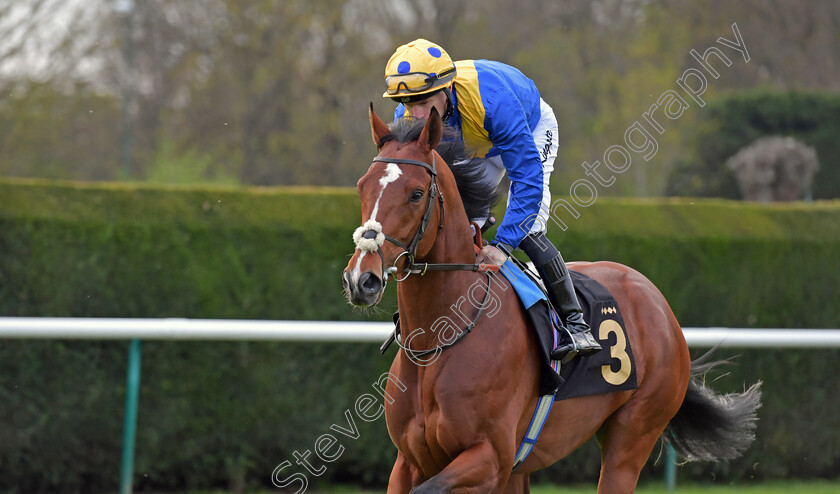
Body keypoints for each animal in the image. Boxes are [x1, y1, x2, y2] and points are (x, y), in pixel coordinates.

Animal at [342, 106, 760, 492]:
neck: (439, 340)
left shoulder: (489, 458)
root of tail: (659, 304)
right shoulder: (410, 460)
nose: (361, 279)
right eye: (362, 187)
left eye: (415, 194)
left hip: (633, 437)